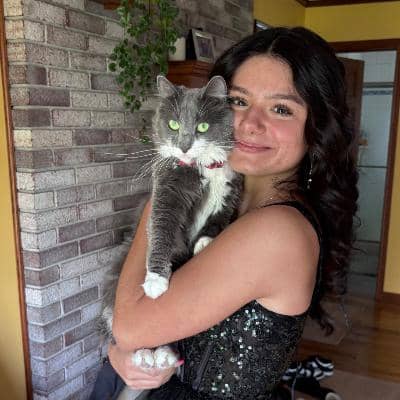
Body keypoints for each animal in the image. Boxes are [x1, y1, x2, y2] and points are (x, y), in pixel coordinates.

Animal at [99, 75, 243, 370]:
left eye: (202, 126)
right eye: (173, 124)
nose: (184, 146)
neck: (203, 168)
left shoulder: (230, 194)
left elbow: (218, 220)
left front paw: (205, 243)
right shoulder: (166, 192)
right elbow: (162, 230)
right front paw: (156, 281)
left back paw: (165, 353)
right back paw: (146, 354)